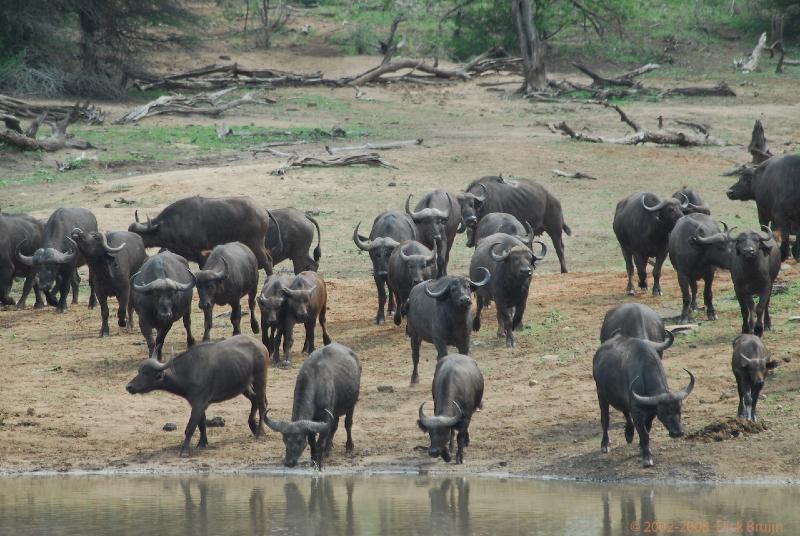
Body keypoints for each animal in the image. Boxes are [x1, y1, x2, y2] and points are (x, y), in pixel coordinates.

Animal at [126, 195, 274, 274]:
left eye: (137, 235)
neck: (174, 223)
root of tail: (262, 210)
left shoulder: (202, 254)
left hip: (255, 243)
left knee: (267, 261)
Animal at [126, 336, 268, 456]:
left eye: (146, 372)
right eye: (139, 370)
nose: (129, 387)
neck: (188, 372)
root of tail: (261, 345)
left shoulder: (199, 403)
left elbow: (190, 427)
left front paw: (184, 450)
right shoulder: (198, 404)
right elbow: (202, 424)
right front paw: (202, 443)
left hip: (260, 380)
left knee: (263, 405)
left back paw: (260, 433)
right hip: (244, 385)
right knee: (255, 400)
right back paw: (253, 426)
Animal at [592, 332, 696, 466]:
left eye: (679, 409)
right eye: (663, 412)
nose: (678, 432)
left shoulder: (650, 411)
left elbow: (647, 429)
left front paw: (642, 447)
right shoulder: (637, 410)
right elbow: (644, 433)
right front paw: (647, 457)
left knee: (625, 412)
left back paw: (629, 434)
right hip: (601, 396)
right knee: (605, 420)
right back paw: (605, 444)